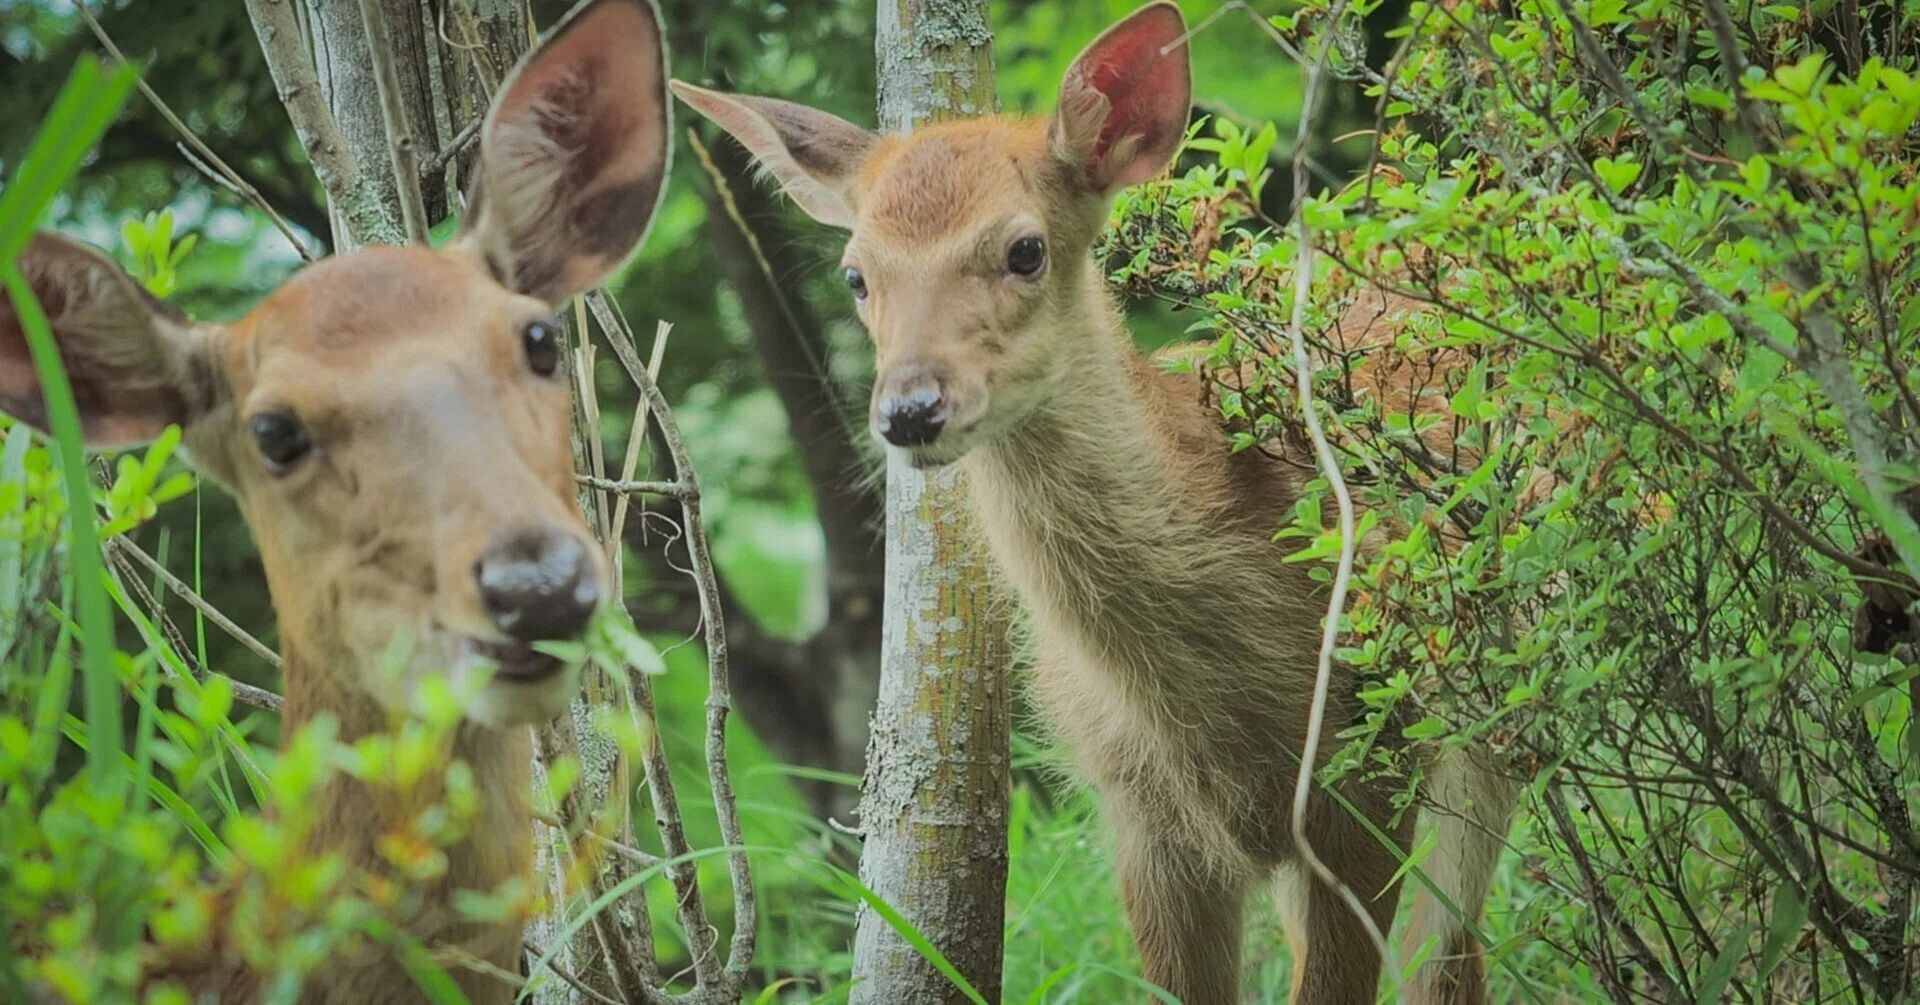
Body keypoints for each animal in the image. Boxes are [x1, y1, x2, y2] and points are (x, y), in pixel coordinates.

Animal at [672, 4, 1518, 1004]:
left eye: (1025, 248)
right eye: (856, 274)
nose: (910, 409)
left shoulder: (1368, 768)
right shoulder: (1140, 813)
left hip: (1491, 723)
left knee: (1450, 952)